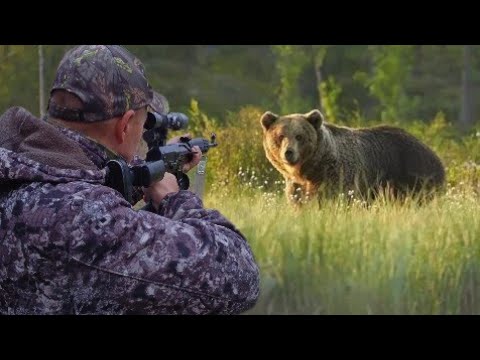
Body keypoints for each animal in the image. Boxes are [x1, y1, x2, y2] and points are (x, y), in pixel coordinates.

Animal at [262, 109, 446, 205]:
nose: (289, 152)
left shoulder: (338, 176)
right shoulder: (297, 186)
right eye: (280, 136)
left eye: (299, 136)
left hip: (414, 174)